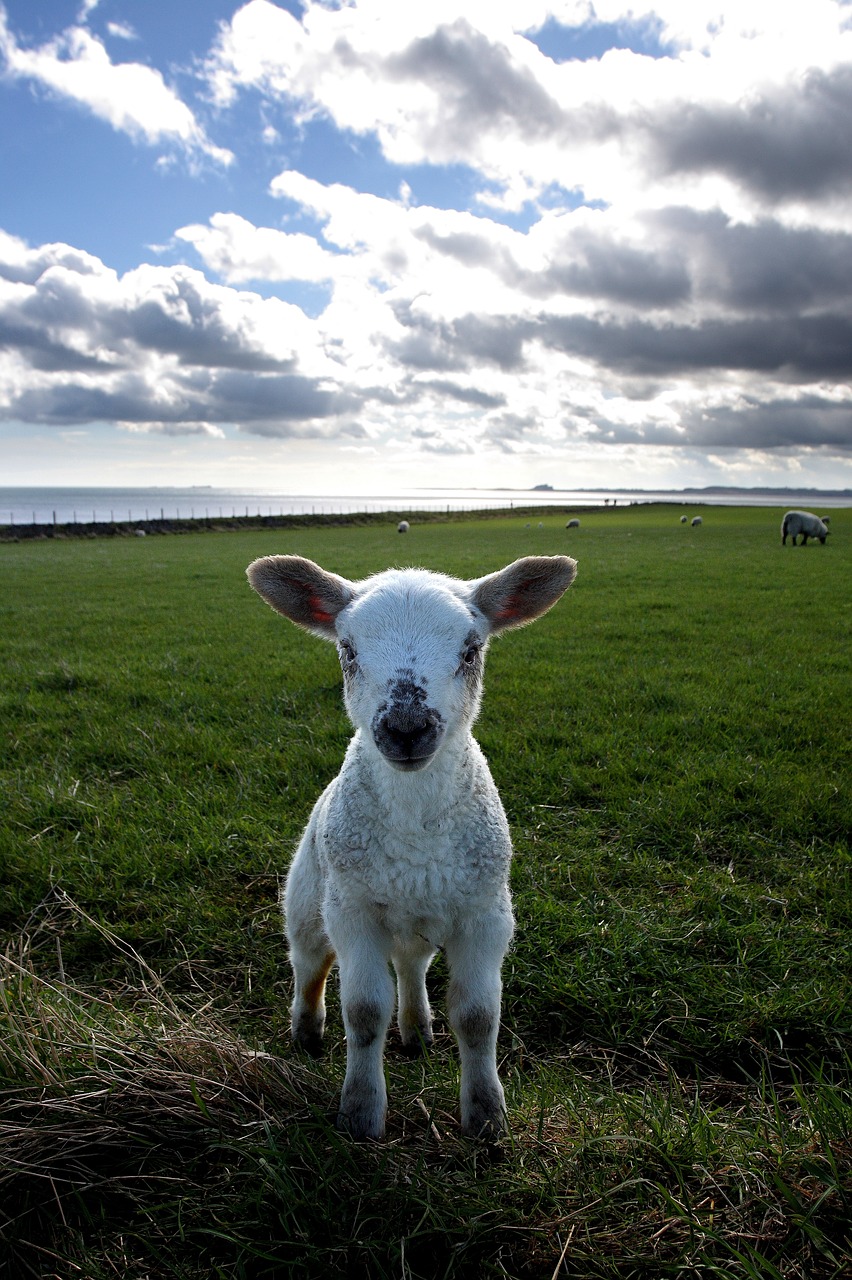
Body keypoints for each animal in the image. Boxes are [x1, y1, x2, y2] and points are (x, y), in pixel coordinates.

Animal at [246, 550, 578, 1141]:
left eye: (471, 650)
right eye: (347, 650)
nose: (406, 727)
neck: (416, 838)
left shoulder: (486, 915)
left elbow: (478, 1017)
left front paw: (486, 1117)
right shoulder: (353, 912)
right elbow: (362, 1012)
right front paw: (361, 1114)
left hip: (415, 918)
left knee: (411, 966)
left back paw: (417, 1028)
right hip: (308, 897)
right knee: (308, 962)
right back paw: (305, 1033)